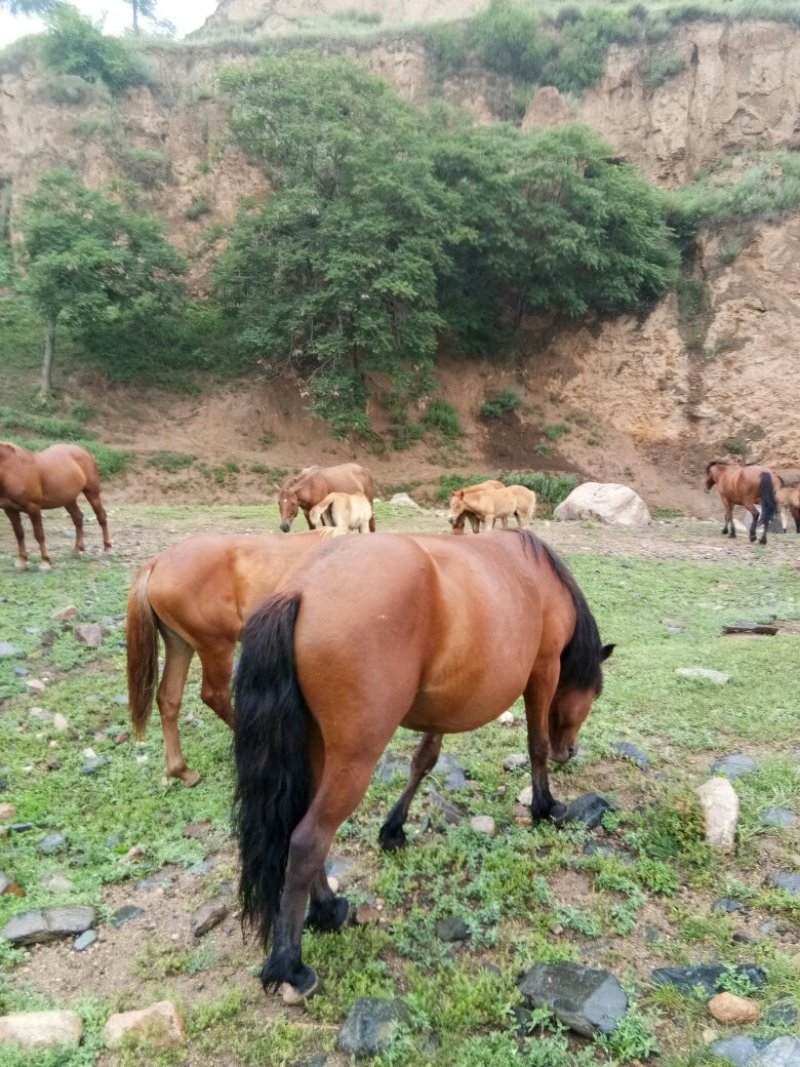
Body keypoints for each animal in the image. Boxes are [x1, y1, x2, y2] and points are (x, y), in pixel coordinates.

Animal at [0, 441, 111, 570]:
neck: (13, 470)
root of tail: (83, 451)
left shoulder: (33, 508)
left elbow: (39, 534)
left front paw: (45, 562)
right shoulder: (10, 509)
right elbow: (19, 534)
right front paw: (21, 561)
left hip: (92, 493)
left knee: (101, 516)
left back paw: (107, 548)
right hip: (68, 499)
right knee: (78, 518)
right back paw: (77, 550)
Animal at [126, 531, 333, 785]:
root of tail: (156, 563)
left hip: (180, 644)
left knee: (168, 698)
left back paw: (181, 770)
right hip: (216, 646)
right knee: (215, 696)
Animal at [233, 529, 613, 1001]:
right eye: (594, 692)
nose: (570, 753)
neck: (542, 580)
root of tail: (302, 587)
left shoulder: (442, 710)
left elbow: (424, 761)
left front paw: (394, 828)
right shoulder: (542, 672)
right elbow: (536, 744)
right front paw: (545, 806)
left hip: (316, 749)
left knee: (297, 828)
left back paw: (328, 909)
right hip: (353, 761)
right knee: (307, 840)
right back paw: (292, 962)